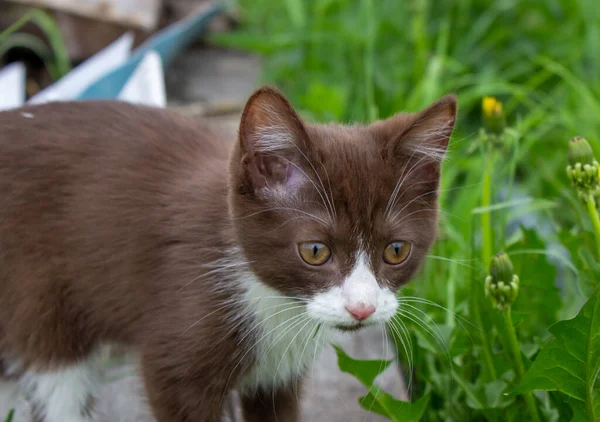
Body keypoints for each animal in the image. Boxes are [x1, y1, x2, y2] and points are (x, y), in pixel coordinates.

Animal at [0, 86, 454, 422]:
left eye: (396, 250)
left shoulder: (278, 373)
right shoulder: (178, 340)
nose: (362, 308)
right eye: (315, 251)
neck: (272, 300)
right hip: (39, 293)